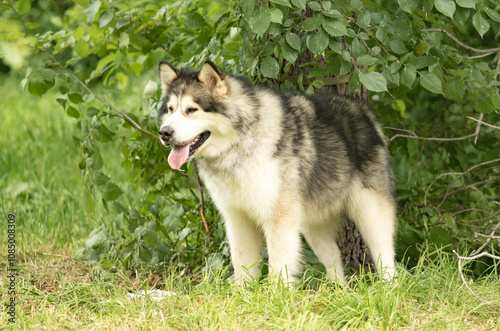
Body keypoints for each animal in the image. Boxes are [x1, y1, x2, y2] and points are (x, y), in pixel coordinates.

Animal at [158, 61, 396, 286]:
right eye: (170, 109)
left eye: (191, 110)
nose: (164, 132)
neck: (241, 141)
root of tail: (362, 109)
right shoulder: (237, 219)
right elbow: (241, 263)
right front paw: (242, 293)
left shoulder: (279, 218)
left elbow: (278, 266)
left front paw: (276, 295)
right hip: (313, 226)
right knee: (333, 258)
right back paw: (338, 290)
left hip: (370, 213)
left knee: (385, 255)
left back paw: (389, 287)